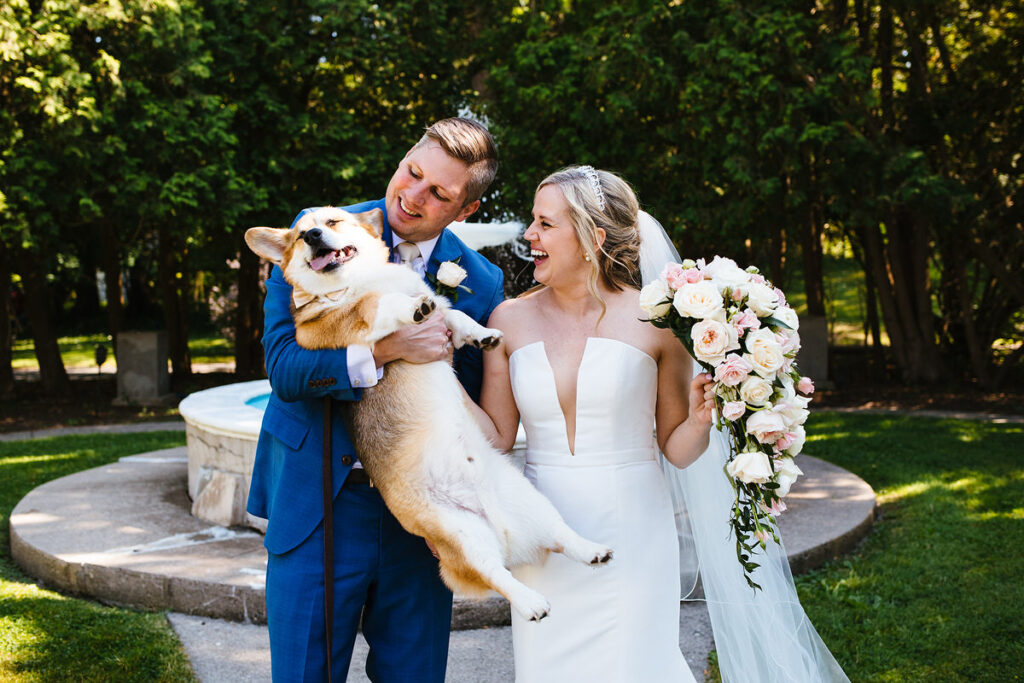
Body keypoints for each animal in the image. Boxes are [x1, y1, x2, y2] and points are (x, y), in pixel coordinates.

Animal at [243, 205, 610, 622]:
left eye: (332, 223)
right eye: (301, 234)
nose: (313, 236)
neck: (363, 278)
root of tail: (501, 528)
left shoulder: (441, 309)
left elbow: (453, 316)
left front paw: (482, 334)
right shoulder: (350, 323)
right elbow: (382, 305)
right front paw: (409, 308)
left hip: (531, 502)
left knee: (558, 536)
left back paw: (592, 550)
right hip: (462, 537)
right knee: (497, 574)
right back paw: (532, 602)